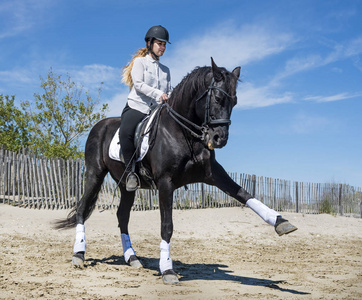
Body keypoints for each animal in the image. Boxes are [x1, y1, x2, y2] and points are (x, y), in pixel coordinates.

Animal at [55, 58, 296, 284]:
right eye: (218, 98)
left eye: (235, 101)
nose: (220, 139)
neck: (182, 131)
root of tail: (99, 125)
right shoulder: (166, 182)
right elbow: (167, 226)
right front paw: (167, 269)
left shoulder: (213, 174)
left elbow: (244, 194)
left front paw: (281, 222)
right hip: (94, 174)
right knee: (82, 209)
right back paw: (79, 254)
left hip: (126, 185)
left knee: (122, 217)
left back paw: (132, 258)